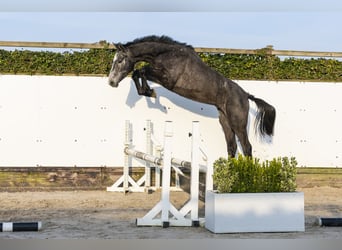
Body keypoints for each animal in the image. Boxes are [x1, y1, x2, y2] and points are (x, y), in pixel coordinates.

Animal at [108, 35, 276, 156]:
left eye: (120, 60)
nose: (111, 82)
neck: (166, 55)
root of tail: (246, 95)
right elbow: (137, 73)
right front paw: (148, 92)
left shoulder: (167, 79)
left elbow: (142, 71)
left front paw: (150, 92)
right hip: (225, 121)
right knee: (232, 146)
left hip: (238, 123)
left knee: (246, 147)